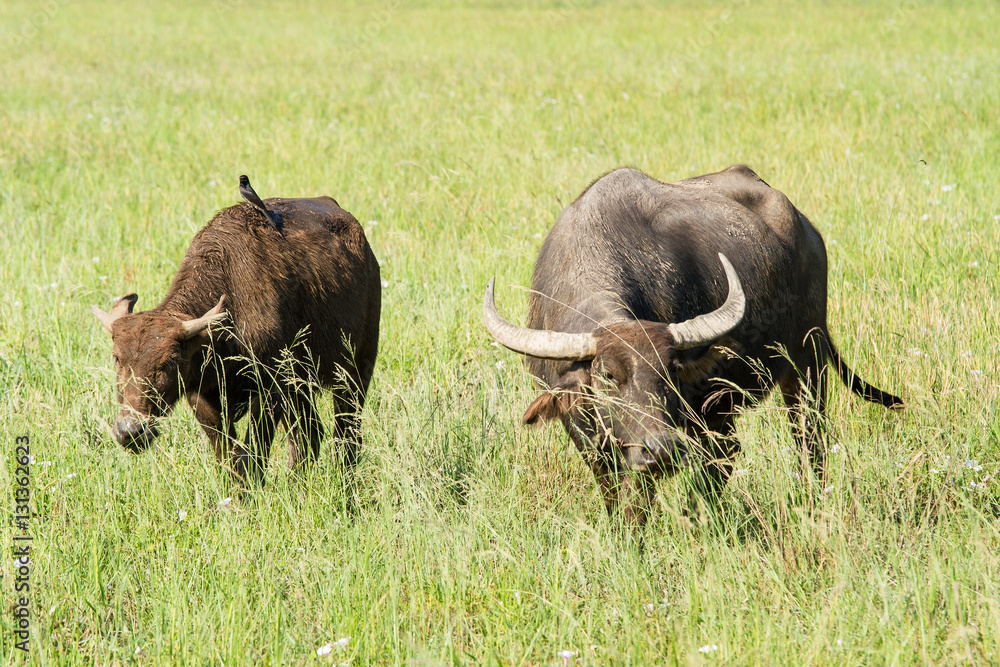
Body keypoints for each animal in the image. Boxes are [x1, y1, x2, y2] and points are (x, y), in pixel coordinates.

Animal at [92, 177, 380, 486]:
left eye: (169, 361)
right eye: (117, 358)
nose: (130, 431)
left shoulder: (269, 394)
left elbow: (254, 455)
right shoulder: (203, 399)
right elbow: (229, 457)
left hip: (354, 372)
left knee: (346, 435)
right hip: (301, 388)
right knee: (308, 437)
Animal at [480, 166, 904, 528]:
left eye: (671, 372)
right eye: (608, 376)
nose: (662, 450)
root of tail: (807, 230)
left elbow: (637, 501)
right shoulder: (587, 433)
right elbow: (614, 494)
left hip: (806, 364)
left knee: (805, 444)